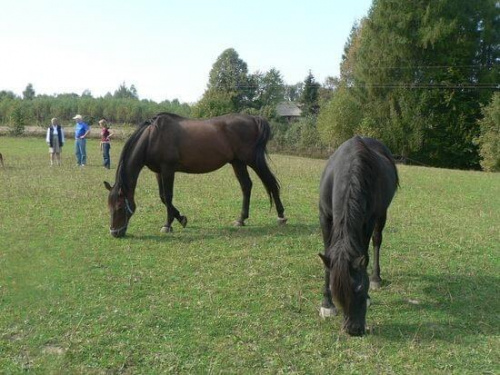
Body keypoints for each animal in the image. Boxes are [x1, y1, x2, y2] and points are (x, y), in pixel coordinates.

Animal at [103, 112, 288, 238]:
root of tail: (254, 119)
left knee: (270, 182)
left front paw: (168, 225)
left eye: (119, 207)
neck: (153, 137)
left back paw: (281, 216)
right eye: (108, 207)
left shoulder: (168, 170)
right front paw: (181, 219)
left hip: (252, 160)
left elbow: (168, 197)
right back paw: (241, 219)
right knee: (246, 186)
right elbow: (163, 197)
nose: (114, 233)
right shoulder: (158, 172)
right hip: (238, 162)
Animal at [320, 137, 398, 336]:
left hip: (382, 214)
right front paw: (326, 304)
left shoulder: (368, 220)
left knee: (377, 241)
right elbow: (327, 256)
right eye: (337, 292)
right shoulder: (324, 216)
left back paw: (377, 277)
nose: (354, 330)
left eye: (361, 289)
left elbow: (365, 252)